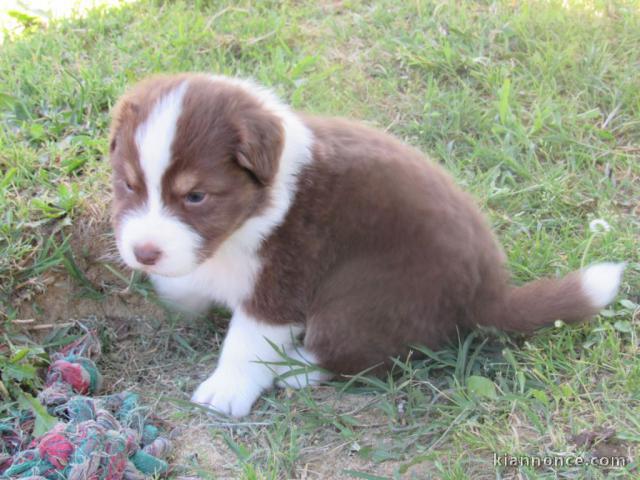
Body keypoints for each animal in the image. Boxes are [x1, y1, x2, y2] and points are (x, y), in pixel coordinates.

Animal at [110, 73, 624, 418]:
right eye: (129, 185)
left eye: (196, 196)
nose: (144, 252)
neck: (253, 213)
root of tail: (492, 292)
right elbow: (187, 285)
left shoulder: (283, 279)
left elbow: (246, 342)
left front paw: (226, 390)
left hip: (363, 301)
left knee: (358, 353)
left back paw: (296, 369)